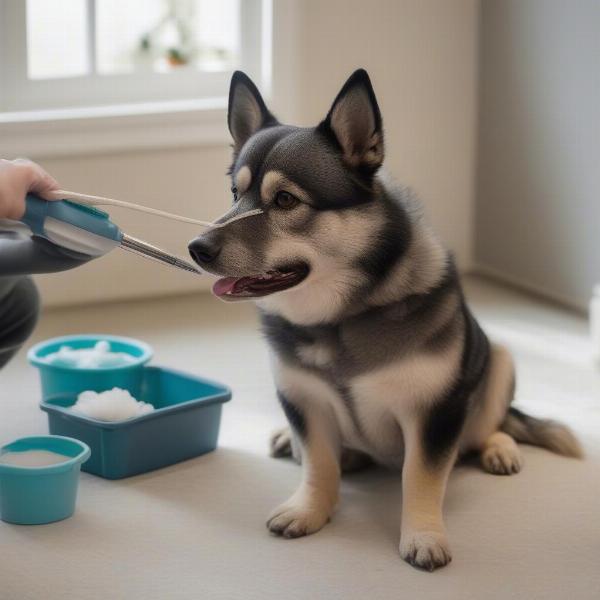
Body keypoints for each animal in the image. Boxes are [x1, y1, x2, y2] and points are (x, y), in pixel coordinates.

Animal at [188, 68, 580, 568]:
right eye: (236, 194)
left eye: (285, 200)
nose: (196, 249)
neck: (339, 318)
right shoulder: (303, 399)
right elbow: (318, 463)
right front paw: (309, 509)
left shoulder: (434, 413)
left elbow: (421, 477)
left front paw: (424, 535)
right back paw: (293, 441)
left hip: (500, 356)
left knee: (492, 424)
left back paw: (498, 448)